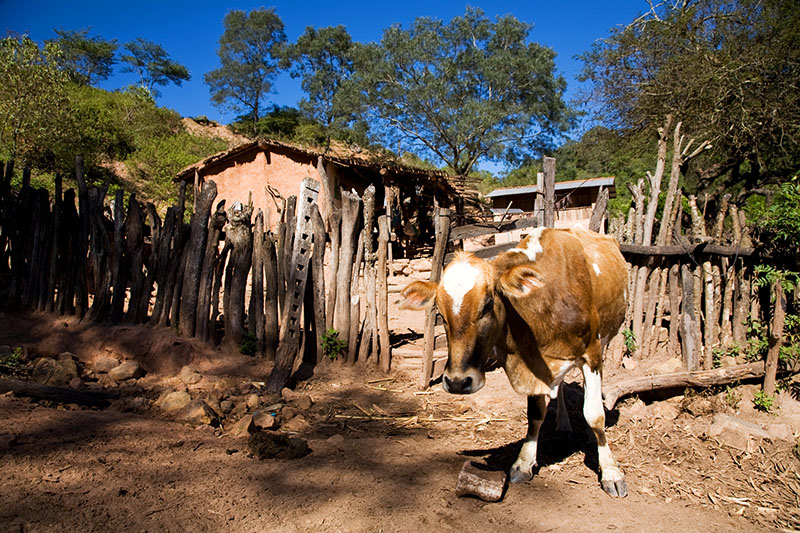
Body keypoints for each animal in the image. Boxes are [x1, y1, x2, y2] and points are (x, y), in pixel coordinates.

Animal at [404, 223, 628, 494]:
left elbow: (594, 414)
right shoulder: (532, 361)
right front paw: (524, 463)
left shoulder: (591, 353)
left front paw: (611, 473)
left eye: (488, 304)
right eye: (440, 311)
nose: (458, 382)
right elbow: (535, 414)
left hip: (604, 339)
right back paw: (563, 422)